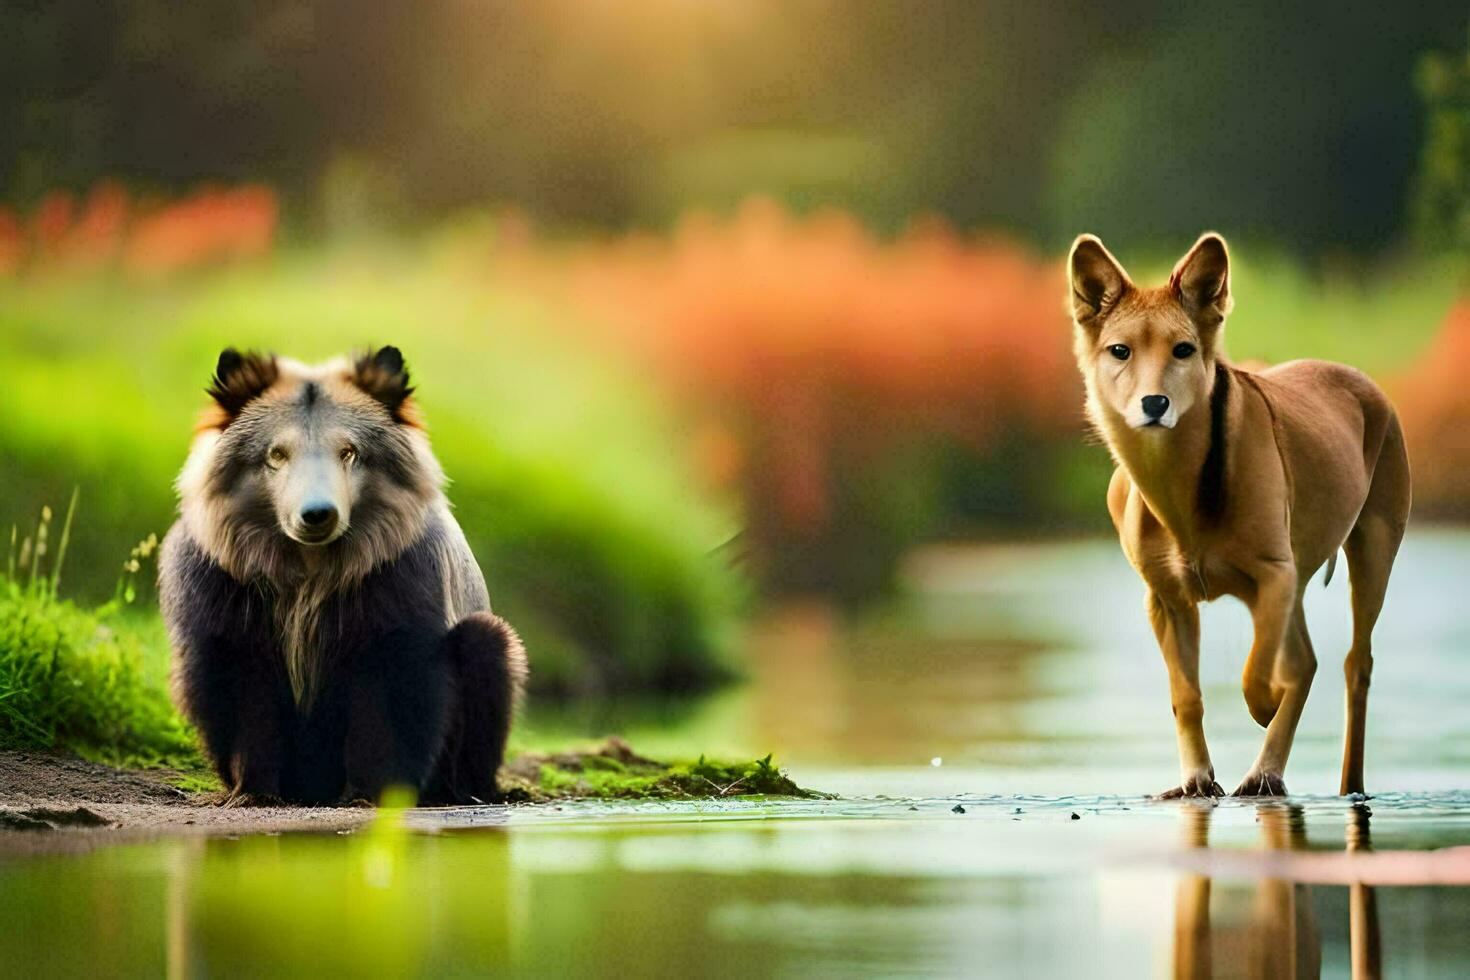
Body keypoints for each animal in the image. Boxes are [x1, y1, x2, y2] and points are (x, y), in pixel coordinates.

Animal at [1076, 235, 1405, 799]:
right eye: (1120, 350)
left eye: (1183, 349)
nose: (1155, 403)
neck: (1185, 491)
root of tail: (1360, 378)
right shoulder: (1165, 598)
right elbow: (1186, 694)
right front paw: (1196, 781)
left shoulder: (1274, 574)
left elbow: (1258, 669)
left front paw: (1264, 705)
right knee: (1308, 660)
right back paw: (1263, 774)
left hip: (1373, 545)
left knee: (1352, 664)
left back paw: (1332, 780)